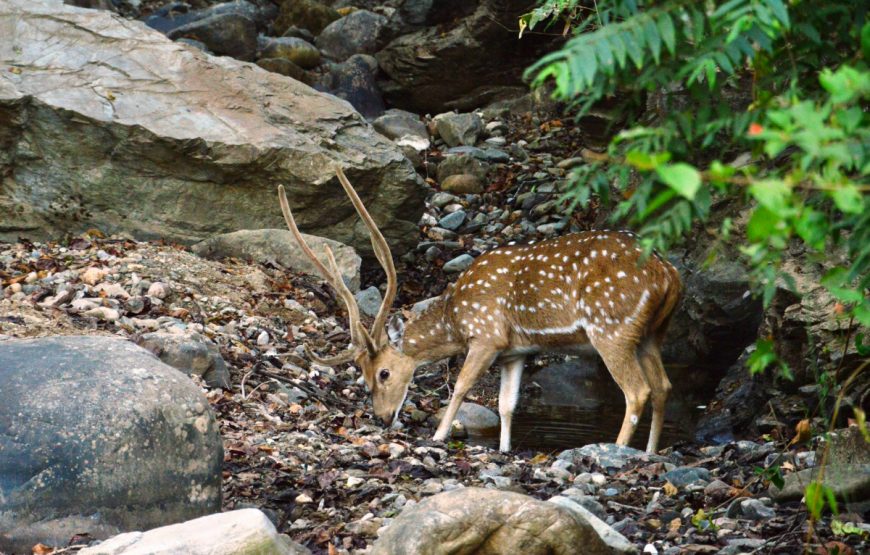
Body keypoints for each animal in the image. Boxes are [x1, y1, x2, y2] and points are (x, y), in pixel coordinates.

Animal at [278, 168, 680, 452]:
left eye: (384, 374)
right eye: (361, 374)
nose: (382, 417)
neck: (455, 318)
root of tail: (668, 274)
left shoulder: (487, 336)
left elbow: (460, 386)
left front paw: (439, 435)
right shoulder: (515, 351)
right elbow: (506, 404)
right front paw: (503, 448)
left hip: (612, 328)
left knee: (638, 391)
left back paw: (617, 449)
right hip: (651, 333)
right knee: (663, 386)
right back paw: (649, 452)